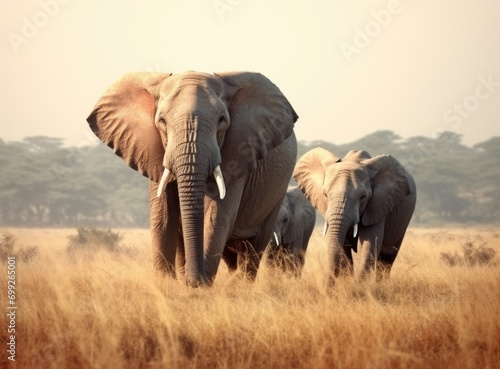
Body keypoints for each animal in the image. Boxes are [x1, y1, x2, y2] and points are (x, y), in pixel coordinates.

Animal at [86, 70, 296, 286]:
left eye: (222, 120)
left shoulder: (239, 152)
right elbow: (163, 218)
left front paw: (198, 287)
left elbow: (215, 216)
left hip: (276, 194)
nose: (194, 281)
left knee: (254, 248)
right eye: (162, 121)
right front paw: (169, 285)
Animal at [294, 148, 416, 280]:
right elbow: (343, 248)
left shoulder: (378, 205)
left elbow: (369, 244)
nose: (328, 283)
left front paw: (358, 285)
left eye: (363, 197)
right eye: (325, 194)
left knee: (387, 257)